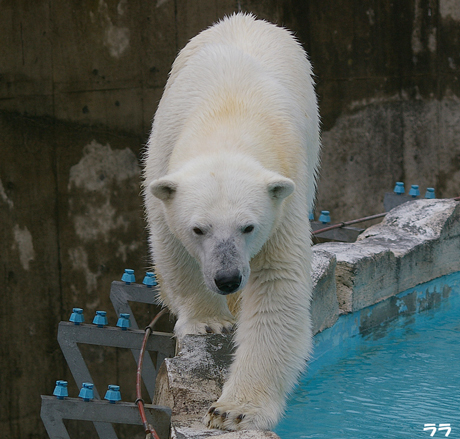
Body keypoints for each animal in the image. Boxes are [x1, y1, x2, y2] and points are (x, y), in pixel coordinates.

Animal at [143, 12, 320, 430]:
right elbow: (170, 244)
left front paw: (233, 410)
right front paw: (210, 321)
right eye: (198, 229)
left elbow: (276, 283)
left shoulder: (284, 196)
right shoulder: (163, 157)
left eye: (248, 227)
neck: (230, 117)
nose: (227, 278)